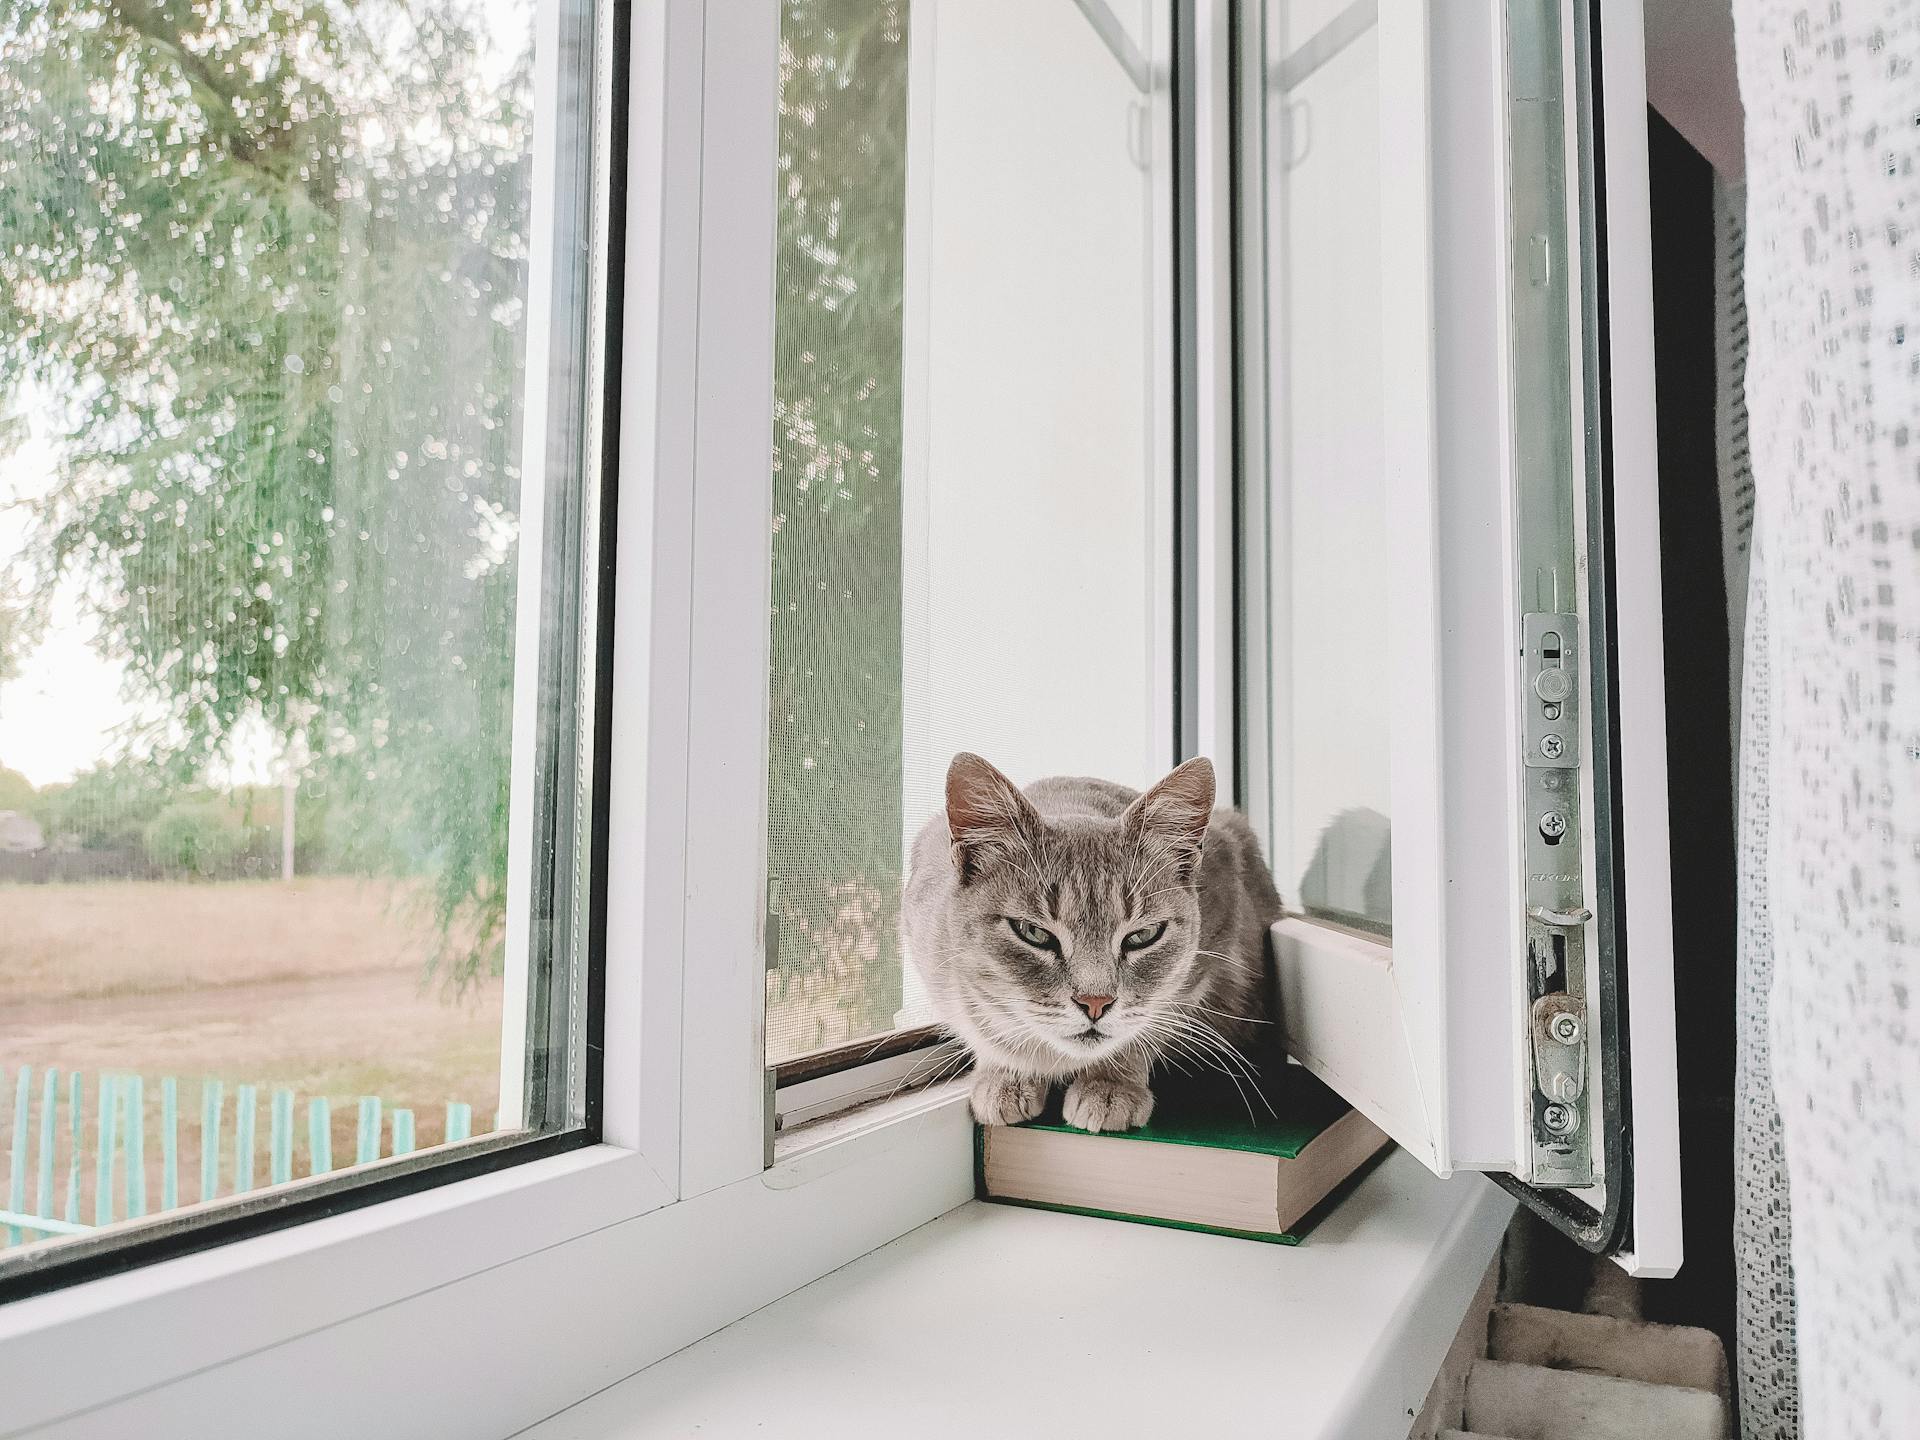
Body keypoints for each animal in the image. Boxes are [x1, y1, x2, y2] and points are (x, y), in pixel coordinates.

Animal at [902, 748, 1290, 1136]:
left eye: (1143, 935)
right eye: (1033, 932)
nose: (1095, 1003)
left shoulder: (1204, 959)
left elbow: (1146, 1025)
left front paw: (1111, 1083)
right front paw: (1006, 1070)